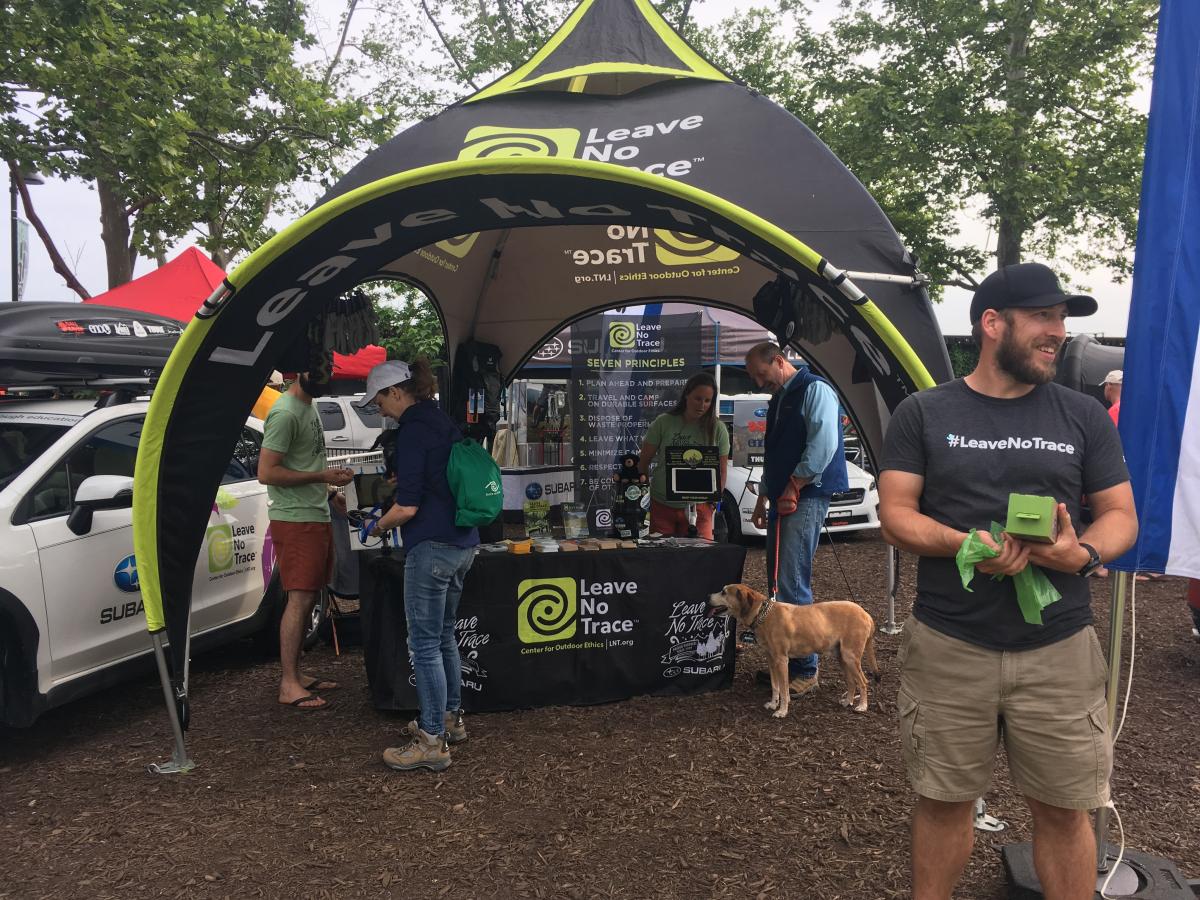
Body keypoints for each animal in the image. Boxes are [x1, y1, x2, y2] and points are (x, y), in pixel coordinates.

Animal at [700, 585, 883, 720]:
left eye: (724, 592)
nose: (707, 596)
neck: (763, 615)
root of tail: (866, 614)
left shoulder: (782, 661)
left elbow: (784, 689)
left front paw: (782, 711)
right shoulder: (771, 659)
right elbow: (775, 686)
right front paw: (773, 704)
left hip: (850, 657)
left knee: (863, 681)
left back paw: (862, 706)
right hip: (842, 657)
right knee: (852, 682)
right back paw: (848, 701)